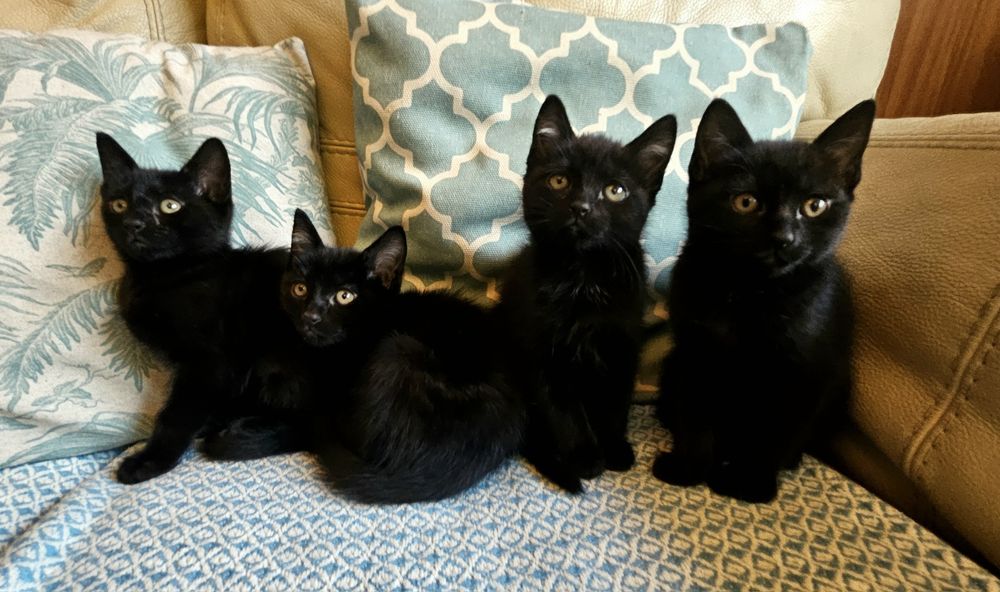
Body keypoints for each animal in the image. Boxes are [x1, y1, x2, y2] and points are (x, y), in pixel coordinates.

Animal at [97, 133, 309, 483]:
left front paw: (150, 460)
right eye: (119, 204)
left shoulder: (208, 362)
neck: (166, 276)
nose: (133, 224)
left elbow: (175, 414)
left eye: (170, 205)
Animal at [495, 95, 677, 493]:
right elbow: (563, 409)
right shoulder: (542, 352)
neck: (584, 277)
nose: (582, 208)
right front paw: (586, 457)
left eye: (615, 191)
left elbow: (615, 401)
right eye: (559, 180)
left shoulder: (623, 343)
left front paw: (615, 448)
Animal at [652, 98, 876, 503]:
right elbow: (696, 412)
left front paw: (749, 482)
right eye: (746, 202)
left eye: (815, 205)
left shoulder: (806, 373)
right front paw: (689, 466)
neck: (750, 293)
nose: (783, 238)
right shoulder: (695, 353)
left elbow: (777, 433)